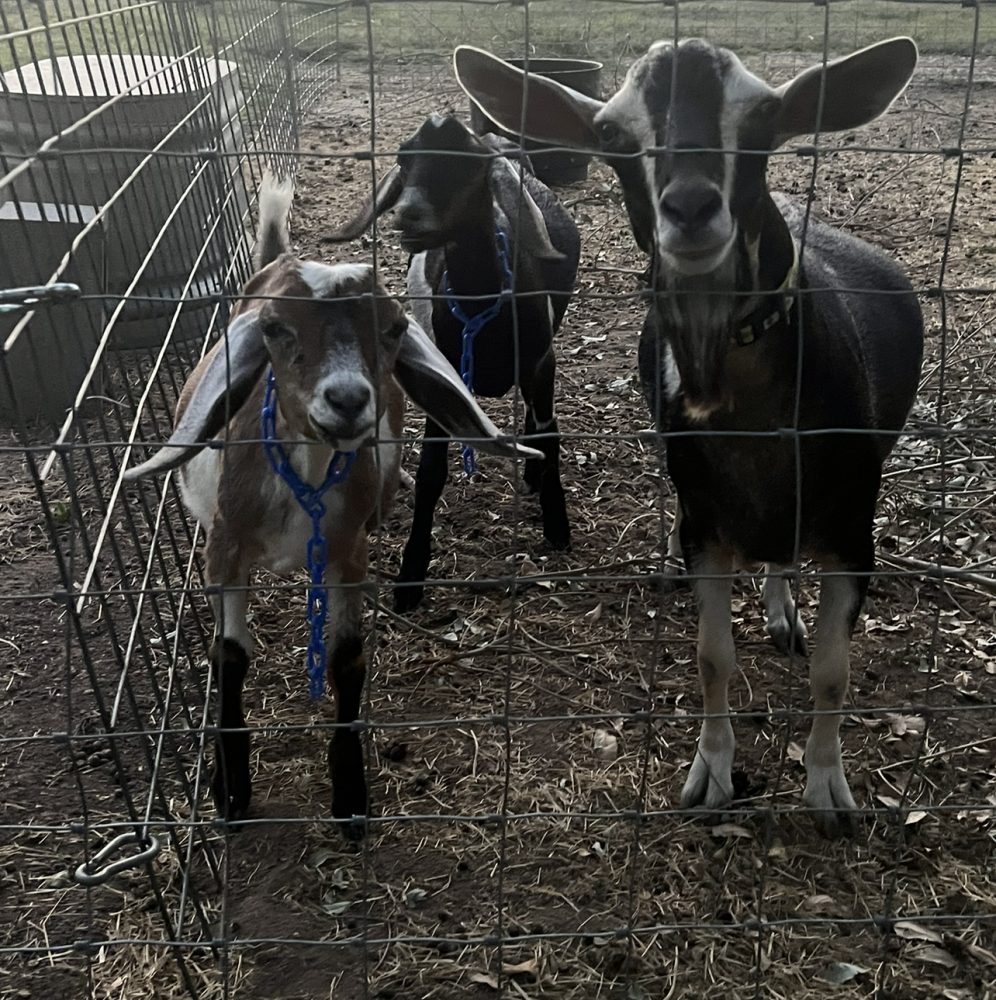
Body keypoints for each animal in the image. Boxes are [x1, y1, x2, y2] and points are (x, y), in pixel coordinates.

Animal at [126, 174, 544, 836]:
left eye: (394, 329)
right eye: (275, 328)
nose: (347, 400)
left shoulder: (349, 554)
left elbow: (348, 658)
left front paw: (350, 794)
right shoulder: (224, 548)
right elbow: (229, 656)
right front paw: (230, 789)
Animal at [322, 109, 580, 608]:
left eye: (471, 163)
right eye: (405, 159)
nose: (408, 213)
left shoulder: (542, 363)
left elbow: (550, 432)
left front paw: (558, 524)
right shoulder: (441, 381)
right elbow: (430, 470)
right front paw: (410, 576)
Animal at [460, 39, 924, 836]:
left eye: (766, 116)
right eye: (611, 135)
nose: (691, 207)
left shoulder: (853, 532)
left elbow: (834, 672)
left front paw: (827, 788)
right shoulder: (705, 525)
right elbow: (712, 658)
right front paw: (711, 774)